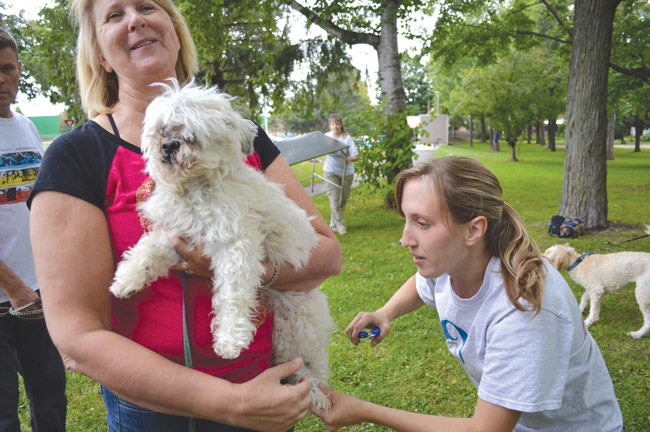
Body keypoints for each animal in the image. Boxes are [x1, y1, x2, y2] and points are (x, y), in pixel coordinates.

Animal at [109, 80, 332, 408]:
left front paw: (230, 339)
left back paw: (315, 392)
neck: (195, 189)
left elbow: (232, 294)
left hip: (298, 326)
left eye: (191, 135)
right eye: (162, 130)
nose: (169, 145)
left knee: (312, 366)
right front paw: (127, 279)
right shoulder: (177, 235)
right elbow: (148, 249)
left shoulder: (236, 246)